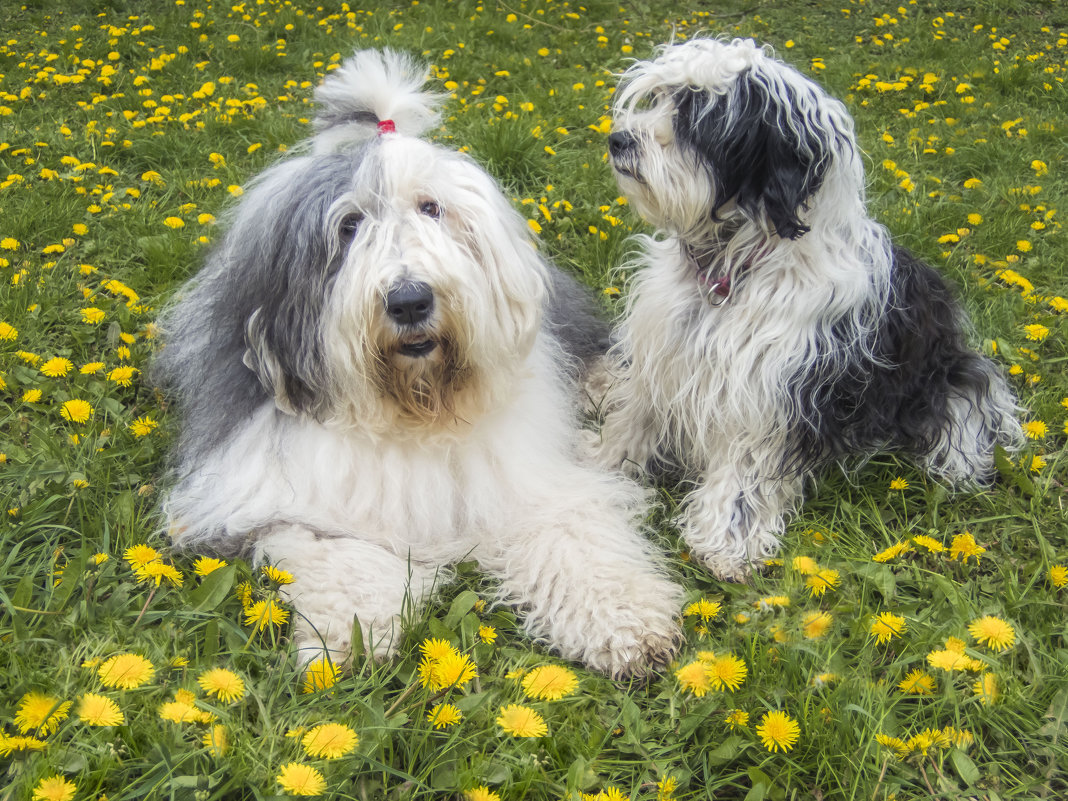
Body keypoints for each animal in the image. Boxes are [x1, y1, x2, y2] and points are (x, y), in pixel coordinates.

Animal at [154, 50, 679, 679]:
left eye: (432, 209)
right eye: (349, 225)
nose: (409, 301)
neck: (417, 407)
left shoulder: (528, 479)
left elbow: (570, 532)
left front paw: (625, 622)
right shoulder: (290, 495)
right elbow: (340, 547)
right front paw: (352, 631)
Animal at [598, 37, 1021, 580]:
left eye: (699, 118)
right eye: (661, 98)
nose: (619, 140)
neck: (730, 264)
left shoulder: (769, 392)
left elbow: (744, 472)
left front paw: (726, 541)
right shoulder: (663, 357)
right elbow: (633, 422)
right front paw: (599, 469)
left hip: (957, 377)